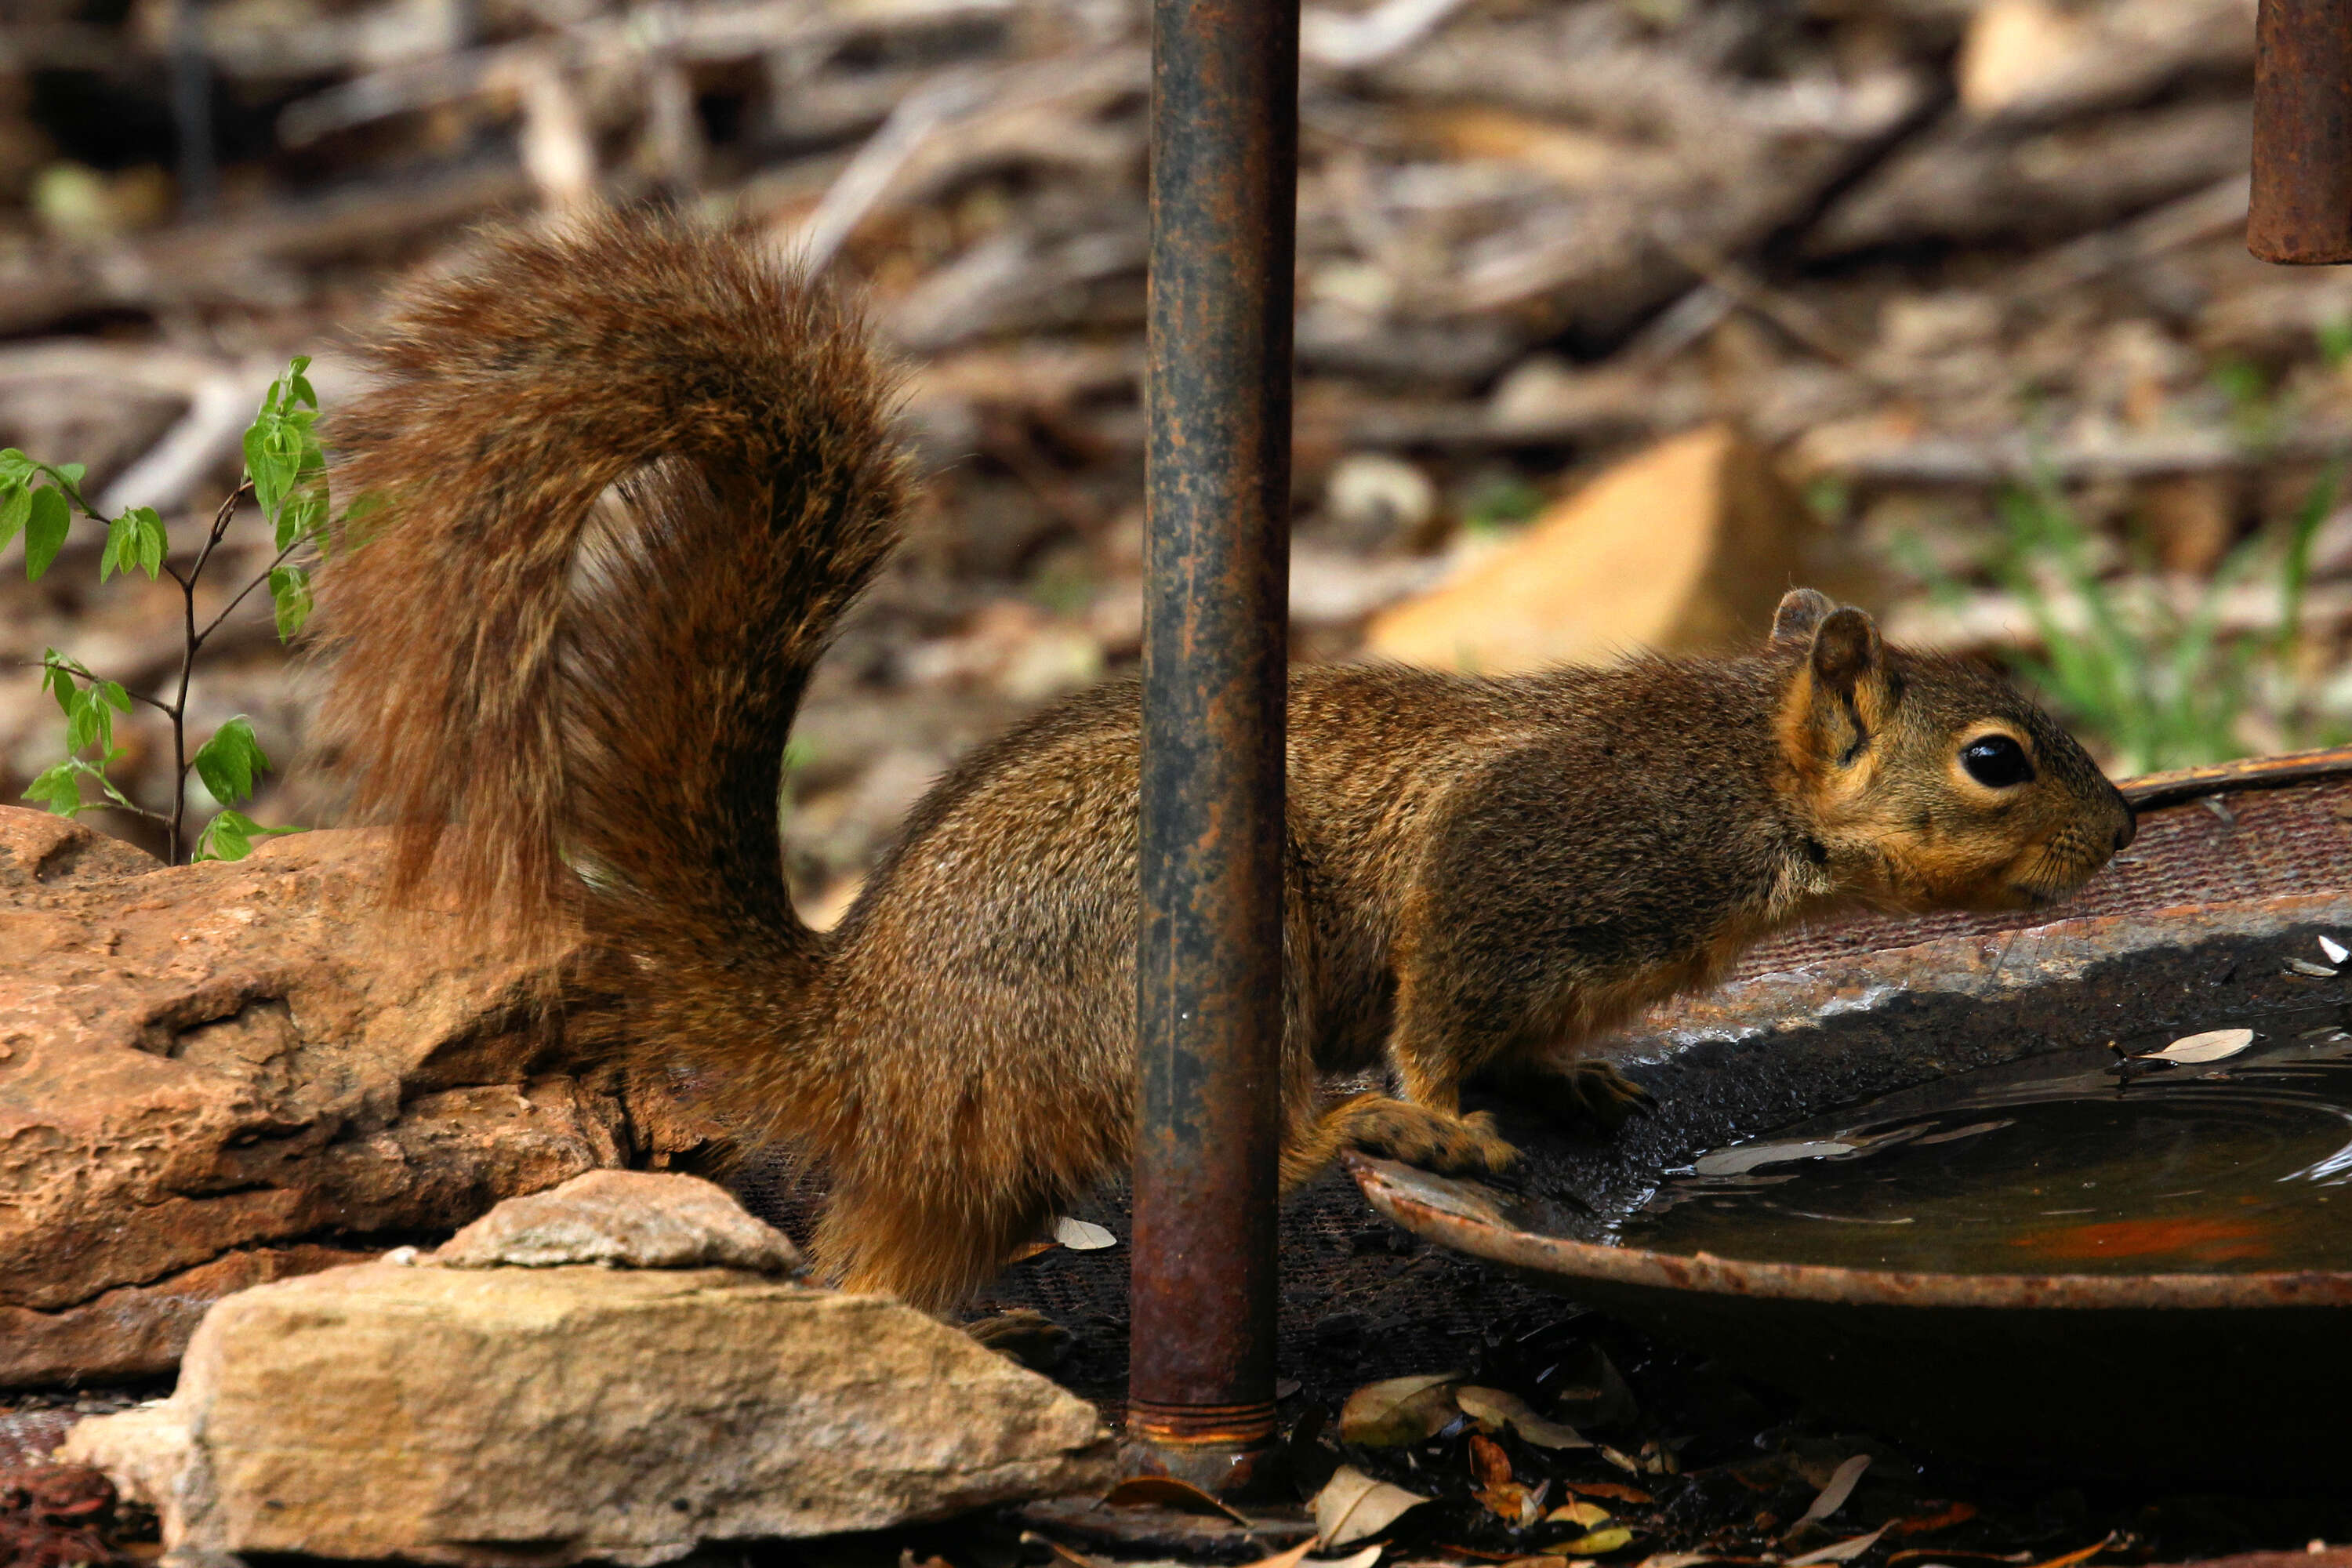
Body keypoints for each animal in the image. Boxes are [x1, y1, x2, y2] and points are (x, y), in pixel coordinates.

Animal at [318, 208, 2154, 1316]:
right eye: (1998, 758)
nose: (2130, 830)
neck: (1746, 787)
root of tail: (862, 1036)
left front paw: (1574, 1079)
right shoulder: (1530, 853)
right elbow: (1444, 996)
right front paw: (1452, 1110)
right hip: (1188, 961)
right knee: (1250, 1151)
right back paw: (1376, 1138)